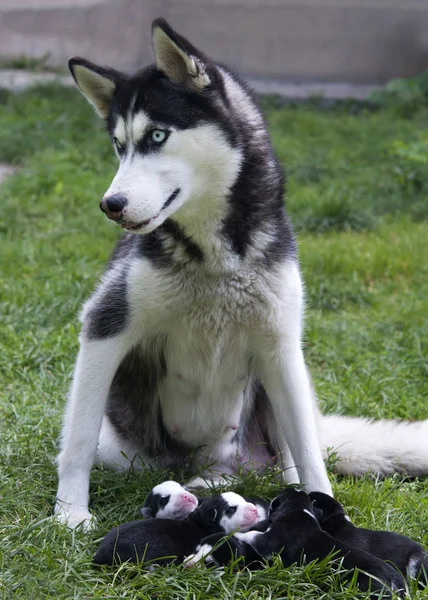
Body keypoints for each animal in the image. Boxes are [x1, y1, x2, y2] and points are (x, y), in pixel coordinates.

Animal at [55, 16, 428, 528]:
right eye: (119, 145)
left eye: (157, 136)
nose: (111, 204)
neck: (215, 257)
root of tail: (200, 461)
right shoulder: (107, 324)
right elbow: (77, 441)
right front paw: (70, 514)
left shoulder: (280, 343)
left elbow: (309, 458)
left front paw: (330, 517)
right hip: (128, 451)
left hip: (287, 381)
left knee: (291, 456)